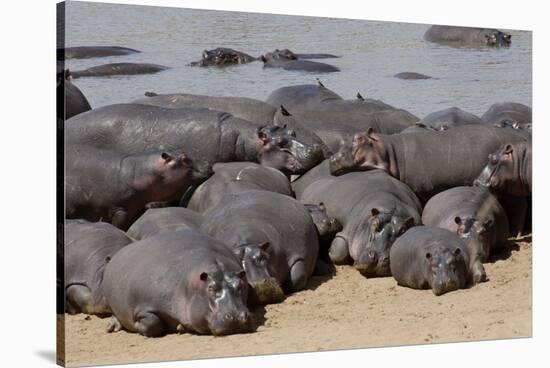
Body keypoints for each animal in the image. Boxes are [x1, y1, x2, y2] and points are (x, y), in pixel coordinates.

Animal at [103, 230, 254, 336]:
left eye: (240, 284)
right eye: (211, 287)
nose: (236, 316)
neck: (188, 285)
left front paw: (180, 327)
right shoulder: (143, 306)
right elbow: (153, 324)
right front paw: (138, 326)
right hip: (113, 304)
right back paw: (112, 327)